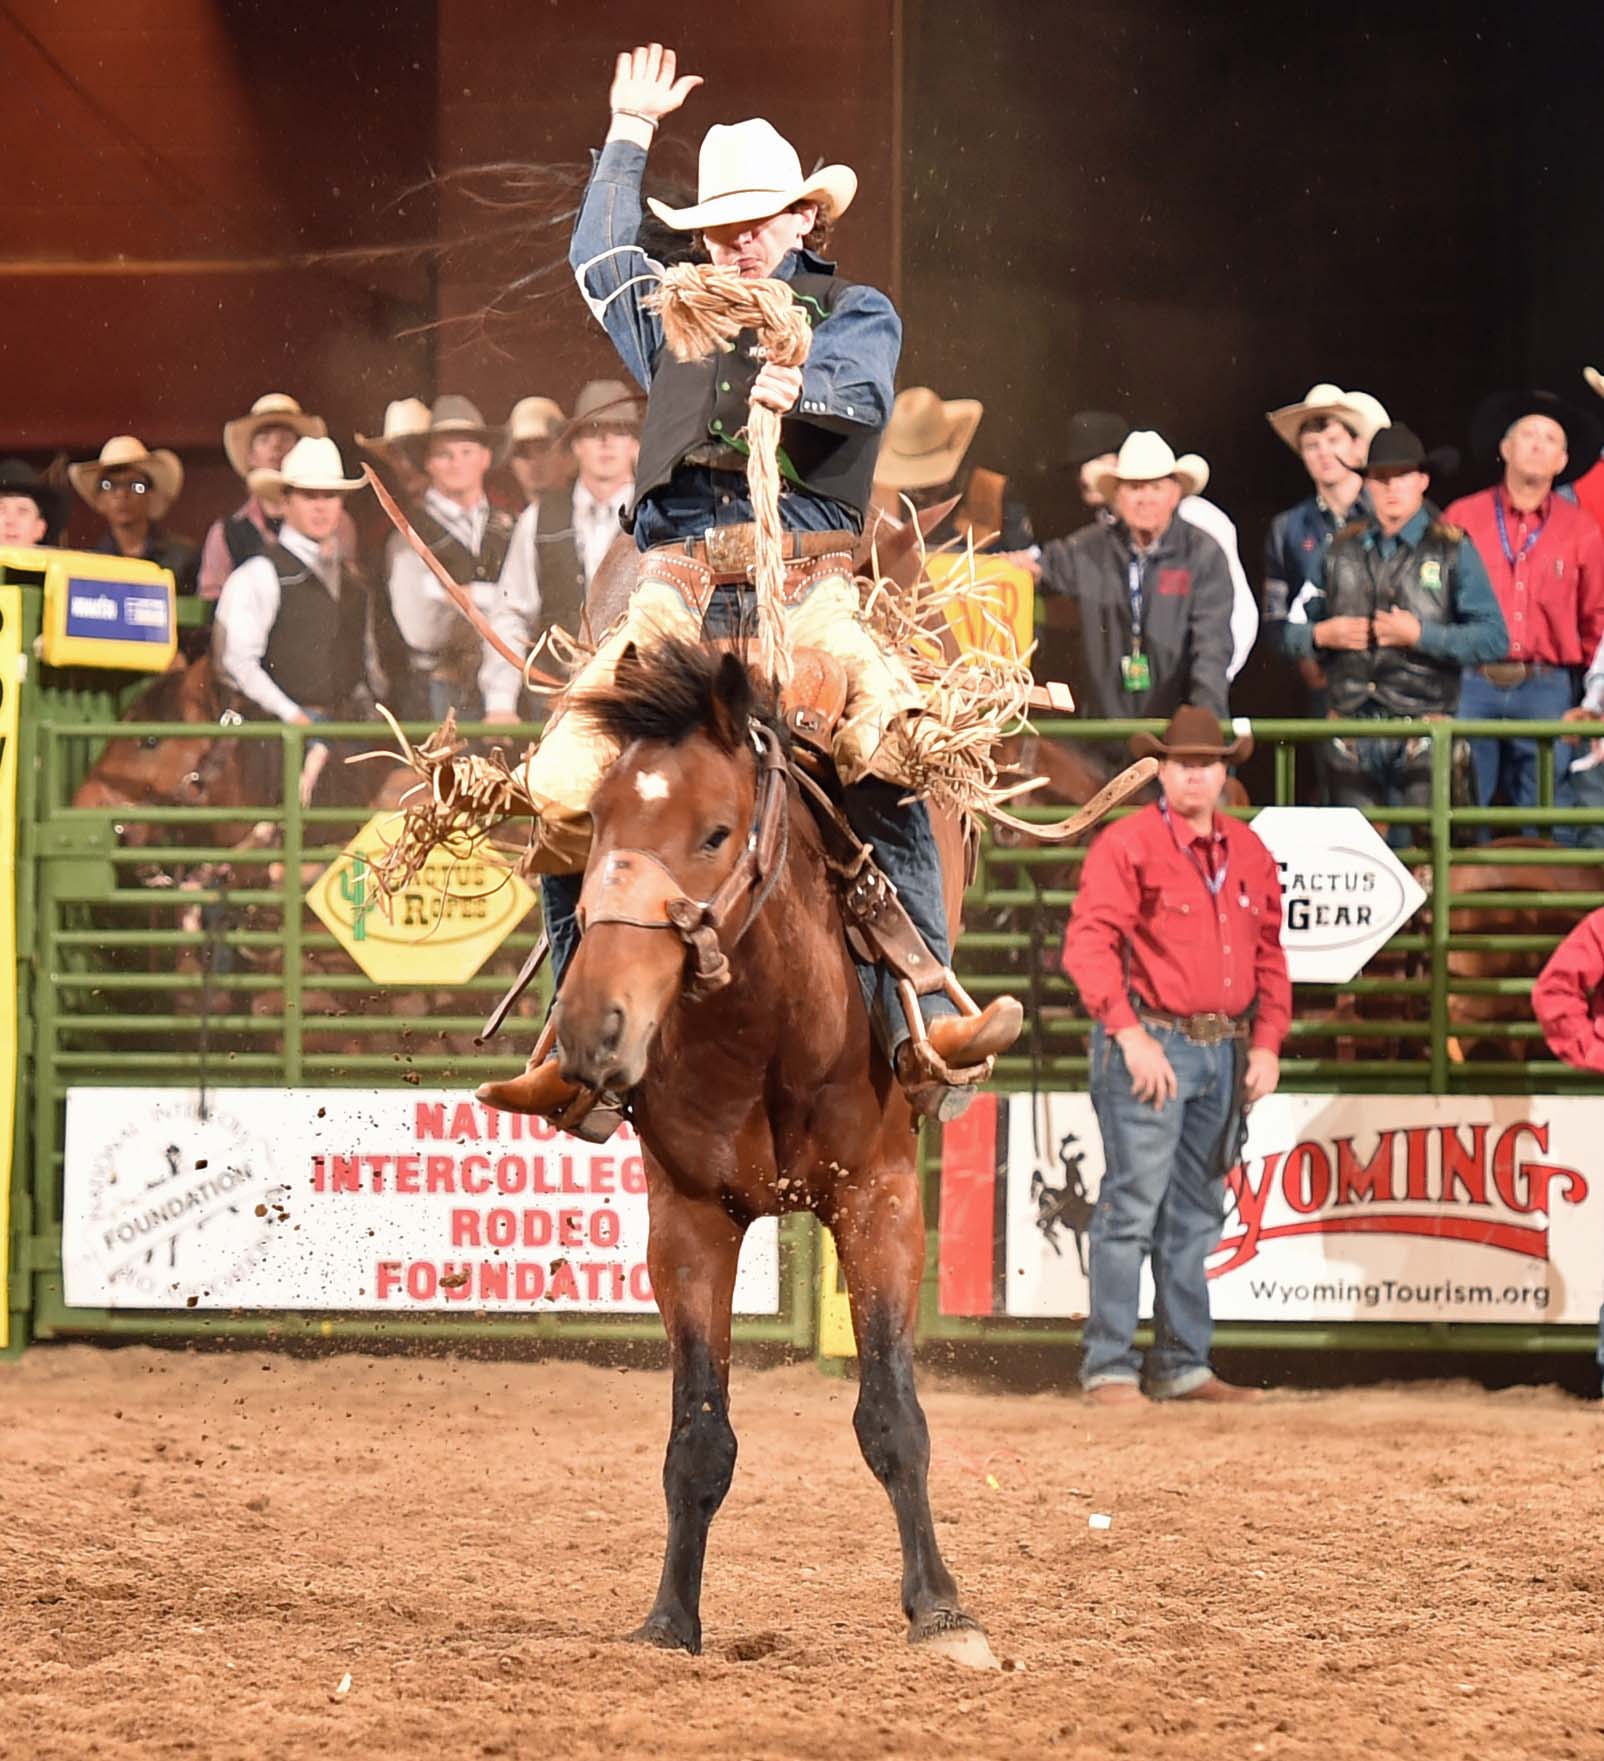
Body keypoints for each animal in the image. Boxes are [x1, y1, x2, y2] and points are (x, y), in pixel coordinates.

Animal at [551, 636, 995, 1666]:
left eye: (716, 833)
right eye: (595, 826)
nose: (595, 1026)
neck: (774, 1028)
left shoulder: (879, 1200)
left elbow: (893, 1417)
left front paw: (942, 1611)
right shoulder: (688, 1222)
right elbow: (698, 1437)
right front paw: (670, 1618)